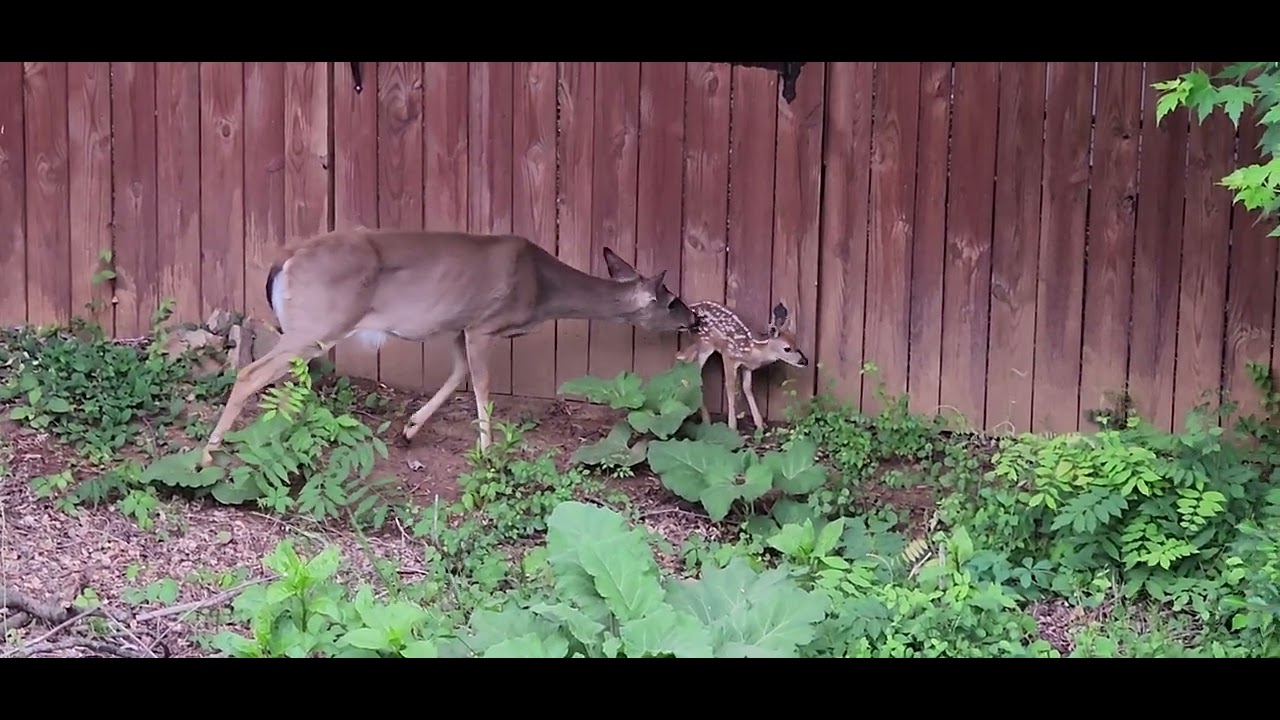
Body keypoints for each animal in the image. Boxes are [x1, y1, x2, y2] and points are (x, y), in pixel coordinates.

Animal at [197, 227, 700, 468]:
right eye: (672, 300)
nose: (695, 319)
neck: (541, 289)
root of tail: (283, 262)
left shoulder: (458, 326)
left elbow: (457, 376)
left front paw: (410, 428)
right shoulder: (484, 325)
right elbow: (483, 386)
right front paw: (488, 453)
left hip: (307, 330)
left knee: (277, 382)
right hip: (319, 322)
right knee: (250, 373)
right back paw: (208, 454)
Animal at [675, 301, 808, 432]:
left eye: (797, 344)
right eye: (787, 349)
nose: (804, 361)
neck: (753, 349)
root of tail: (692, 307)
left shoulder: (747, 367)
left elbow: (747, 387)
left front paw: (760, 425)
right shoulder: (728, 355)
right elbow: (730, 387)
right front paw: (732, 427)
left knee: (682, 359)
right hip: (704, 344)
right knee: (690, 368)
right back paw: (706, 420)